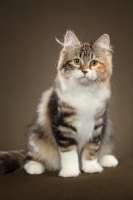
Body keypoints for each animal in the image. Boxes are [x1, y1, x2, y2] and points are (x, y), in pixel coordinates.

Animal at [0, 30, 118, 177]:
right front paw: (70, 171)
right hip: (37, 135)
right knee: (29, 156)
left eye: (94, 62)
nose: (85, 71)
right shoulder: (63, 125)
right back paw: (34, 167)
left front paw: (91, 167)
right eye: (77, 61)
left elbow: (91, 150)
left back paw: (107, 159)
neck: (84, 92)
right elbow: (69, 152)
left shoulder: (97, 125)